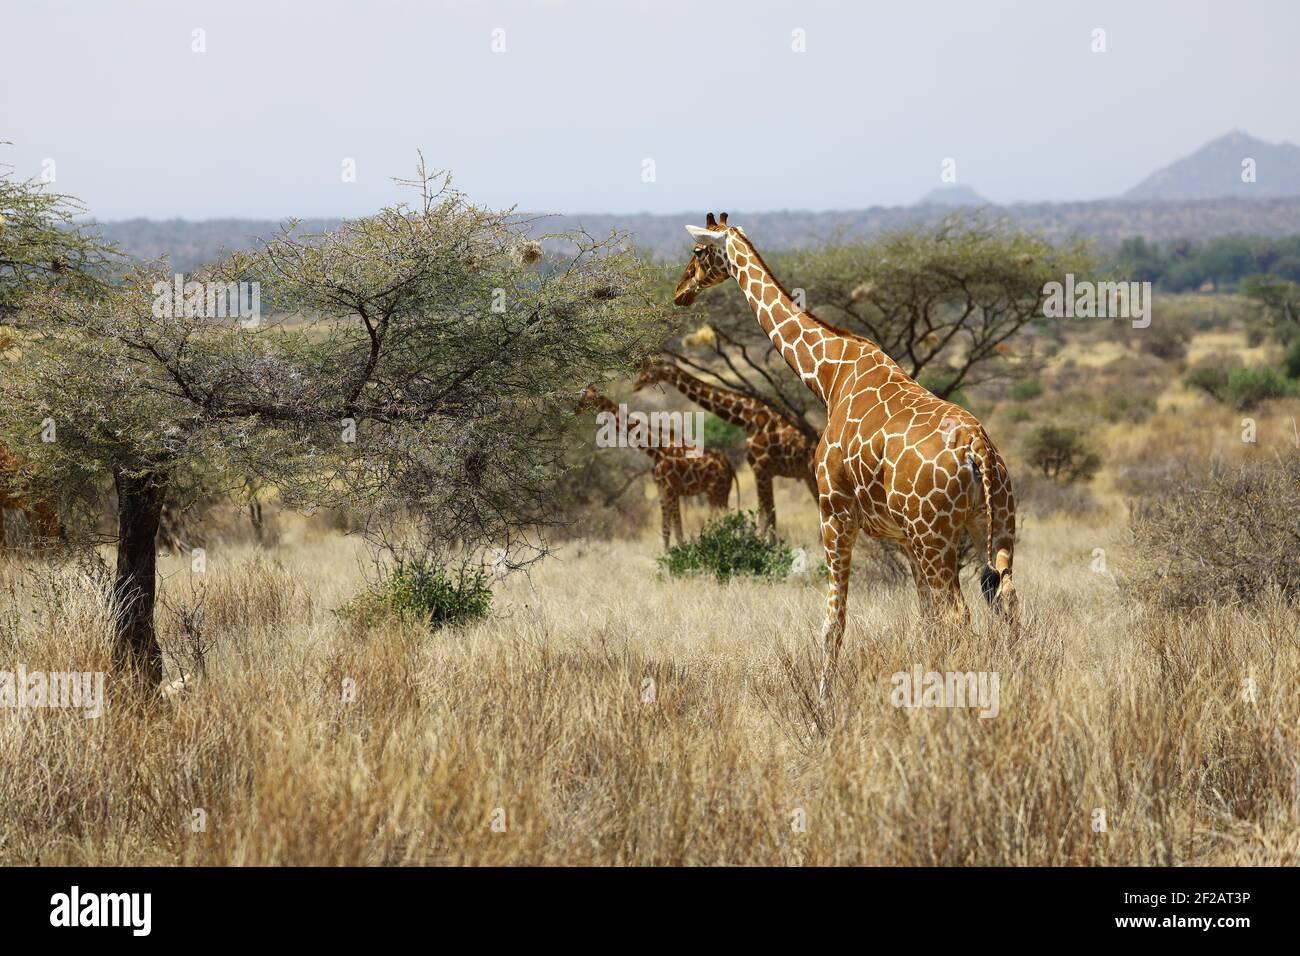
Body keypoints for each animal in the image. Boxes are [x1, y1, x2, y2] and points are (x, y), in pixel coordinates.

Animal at [579, 387, 738, 548]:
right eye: (581, 394)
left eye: (588, 397)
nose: (577, 408)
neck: (656, 449)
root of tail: (729, 466)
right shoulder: (661, 489)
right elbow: (666, 530)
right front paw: (668, 553)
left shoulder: (671, 490)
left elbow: (678, 530)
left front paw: (680, 552)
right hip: (722, 491)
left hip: (716, 491)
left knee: (722, 518)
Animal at [632, 359, 817, 535]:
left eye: (651, 368)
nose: (636, 384)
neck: (746, 419)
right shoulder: (763, 472)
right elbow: (769, 515)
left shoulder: (761, 469)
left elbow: (766, 517)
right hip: (807, 475)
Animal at [674, 214, 1018, 693]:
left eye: (698, 252)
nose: (680, 292)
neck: (829, 375)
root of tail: (977, 448)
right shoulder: (901, 536)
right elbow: (924, 619)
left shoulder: (834, 513)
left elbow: (832, 621)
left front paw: (824, 694)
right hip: (993, 523)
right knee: (1005, 598)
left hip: (935, 535)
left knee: (959, 614)